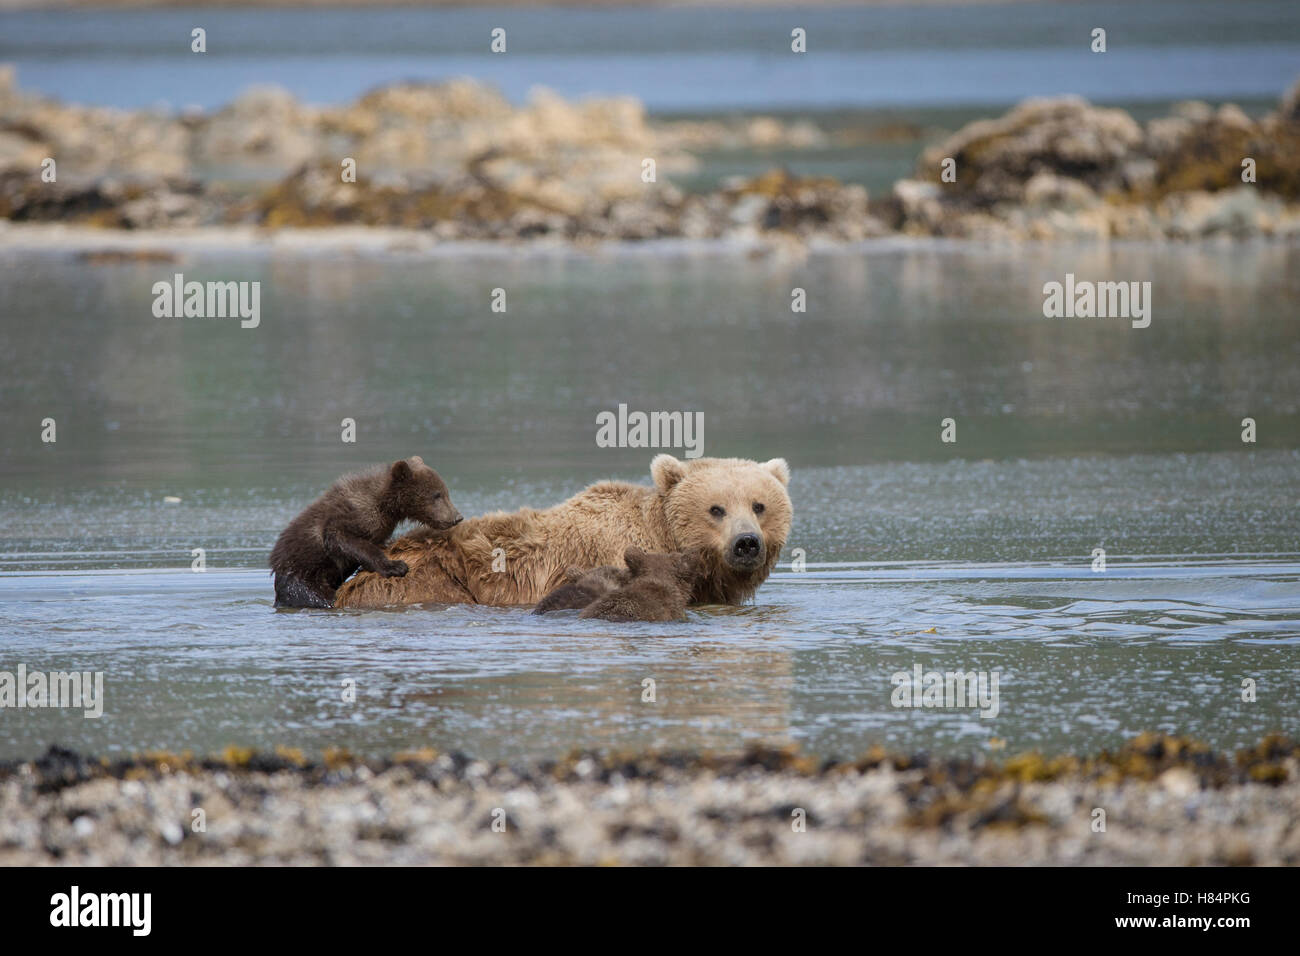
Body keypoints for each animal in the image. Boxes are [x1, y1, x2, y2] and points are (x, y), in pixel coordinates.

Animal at [269, 456, 463, 609]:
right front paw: (396, 566)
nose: (457, 517)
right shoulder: (357, 514)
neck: (387, 505)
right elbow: (342, 538)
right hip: (302, 576)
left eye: (445, 492)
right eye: (437, 495)